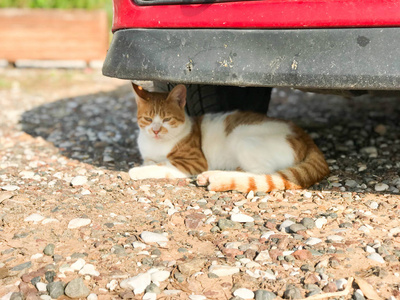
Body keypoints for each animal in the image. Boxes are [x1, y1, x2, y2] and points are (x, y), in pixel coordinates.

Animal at [130, 83, 330, 193]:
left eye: (167, 119)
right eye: (147, 119)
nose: (156, 131)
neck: (155, 144)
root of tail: (305, 136)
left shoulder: (193, 162)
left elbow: (160, 166)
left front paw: (136, 171)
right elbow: (151, 162)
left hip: (243, 140)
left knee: (260, 174)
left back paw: (218, 179)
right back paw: (211, 175)